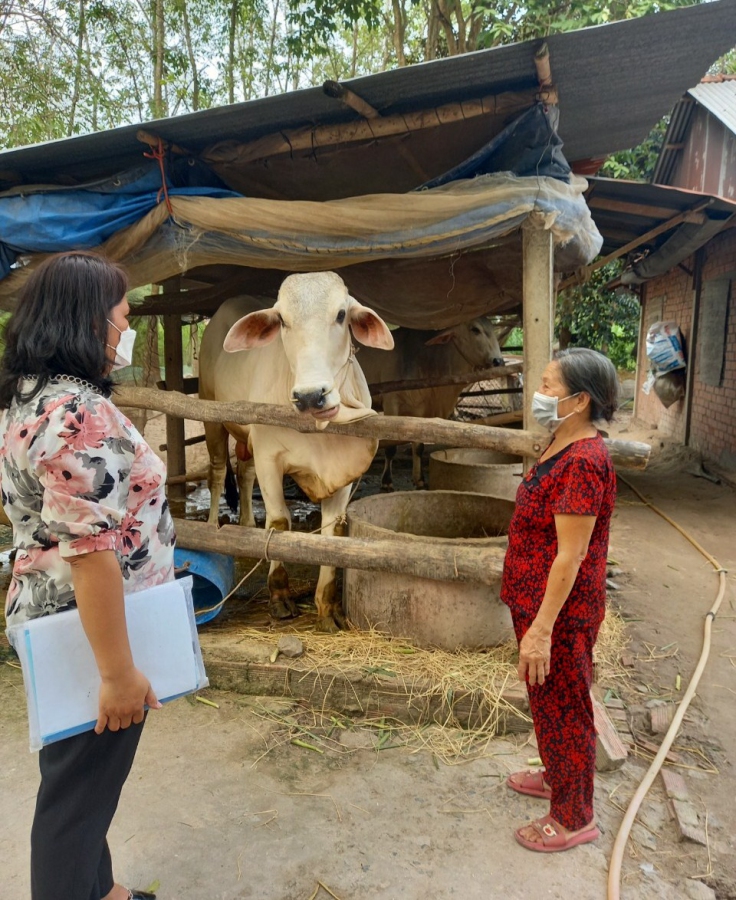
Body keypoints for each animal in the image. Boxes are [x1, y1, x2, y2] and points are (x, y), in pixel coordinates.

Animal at [198, 270, 394, 628]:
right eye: (282, 321)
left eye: (341, 314)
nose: (310, 396)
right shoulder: (270, 460)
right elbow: (279, 524)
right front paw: (280, 597)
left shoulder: (342, 474)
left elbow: (332, 532)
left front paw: (328, 607)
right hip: (212, 418)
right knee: (218, 472)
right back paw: (211, 527)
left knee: (244, 474)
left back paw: (247, 524)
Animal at [358, 322, 506, 492]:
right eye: (475, 329)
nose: (498, 361)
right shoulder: (391, 403)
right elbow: (391, 447)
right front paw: (387, 482)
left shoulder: (418, 410)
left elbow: (418, 446)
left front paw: (420, 480)